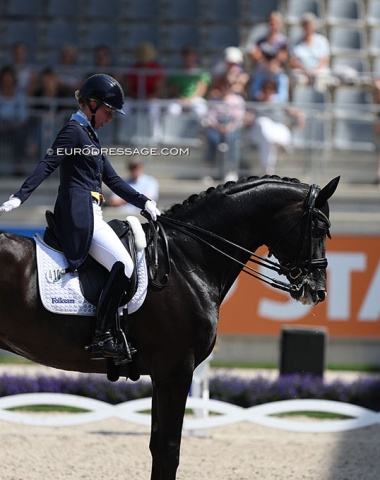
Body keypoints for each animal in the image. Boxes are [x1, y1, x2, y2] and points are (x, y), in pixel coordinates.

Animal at [0, 176, 338, 480]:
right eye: (320, 229)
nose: (318, 291)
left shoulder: (163, 374)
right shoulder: (176, 369)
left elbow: (158, 446)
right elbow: (168, 449)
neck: (187, 259)